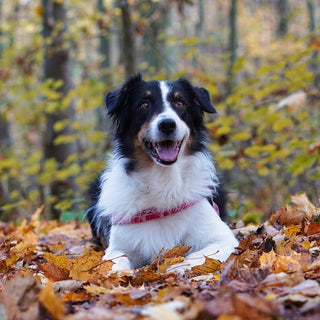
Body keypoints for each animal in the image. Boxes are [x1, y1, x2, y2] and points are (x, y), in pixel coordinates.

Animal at [86, 75, 239, 272]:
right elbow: (114, 264)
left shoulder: (223, 239)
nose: (167, 124)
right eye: (144, 105)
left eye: (180, 103)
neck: (163, 180)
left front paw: (174, 269)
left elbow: (194, 258)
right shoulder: (118, 247)